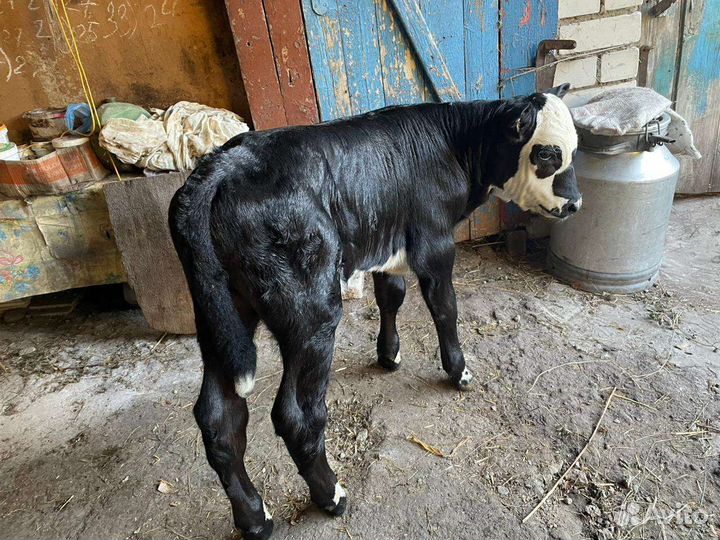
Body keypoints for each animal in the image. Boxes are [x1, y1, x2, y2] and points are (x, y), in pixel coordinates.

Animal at [169, 83, 581, 539]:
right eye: (547, 154)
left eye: (574, 149)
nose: (575, 204)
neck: (454, 145)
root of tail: (226, 162)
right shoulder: (434, 242)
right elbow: (445, 309)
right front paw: (458, 371)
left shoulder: (390, 244)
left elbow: (391, 296)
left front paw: (389, 355)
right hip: (311, 314)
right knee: (296, 416)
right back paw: (331, 495)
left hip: (220, 318)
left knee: (219, 421)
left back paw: (255, 519)